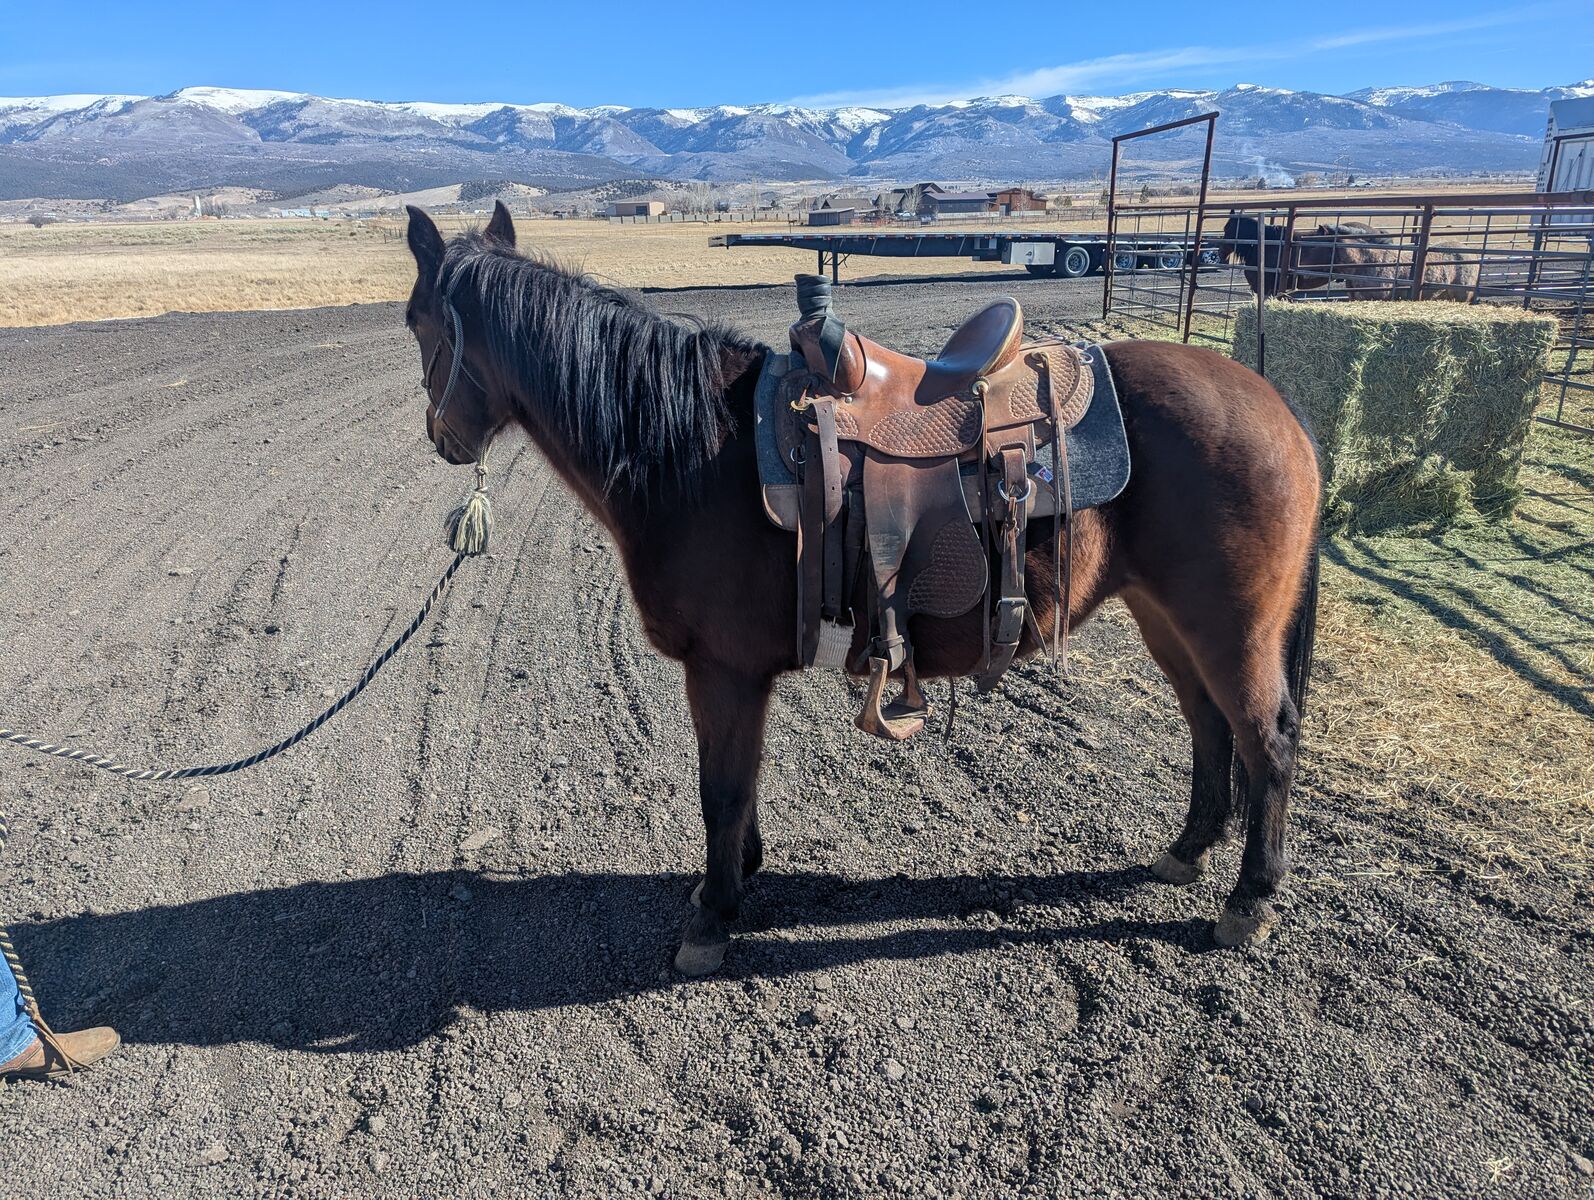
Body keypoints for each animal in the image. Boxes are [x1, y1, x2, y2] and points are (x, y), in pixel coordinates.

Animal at [404, 202, 1323, 976]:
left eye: (418, 322)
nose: (442, 440)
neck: (691, 451)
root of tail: (1279, 406)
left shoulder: (723, 669)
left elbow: (721, 789)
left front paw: (712, 915)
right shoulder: (738, 675)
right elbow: (740, 781)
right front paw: (737, 876)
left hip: (1229, 624)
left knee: (1265, 738)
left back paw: (1250, 899)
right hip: (1167, 616)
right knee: (1208, 724)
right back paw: (1188, 851)